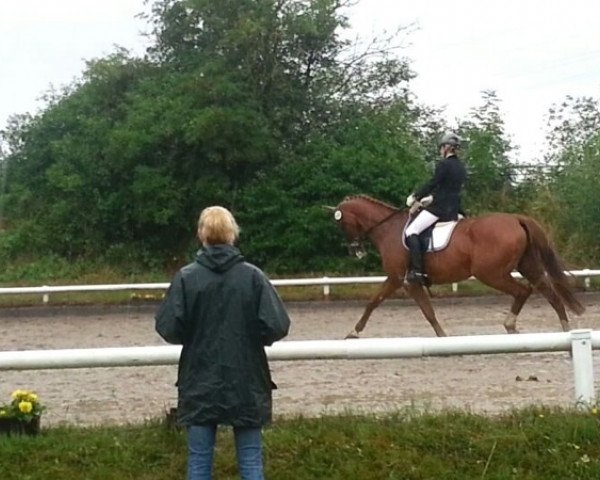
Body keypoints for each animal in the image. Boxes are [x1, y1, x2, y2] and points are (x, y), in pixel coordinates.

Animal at [328, 194, 584, 338]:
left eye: (343, 224)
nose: (356, 251)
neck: (388, 229)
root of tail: (516, 218)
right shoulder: (401, 281)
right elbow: (386, 304)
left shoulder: (402, 280)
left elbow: (417, 309)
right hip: (527, 265)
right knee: (548, 291)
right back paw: (565, 328)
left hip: (490, 274)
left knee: (524, 291)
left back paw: (511, 325)